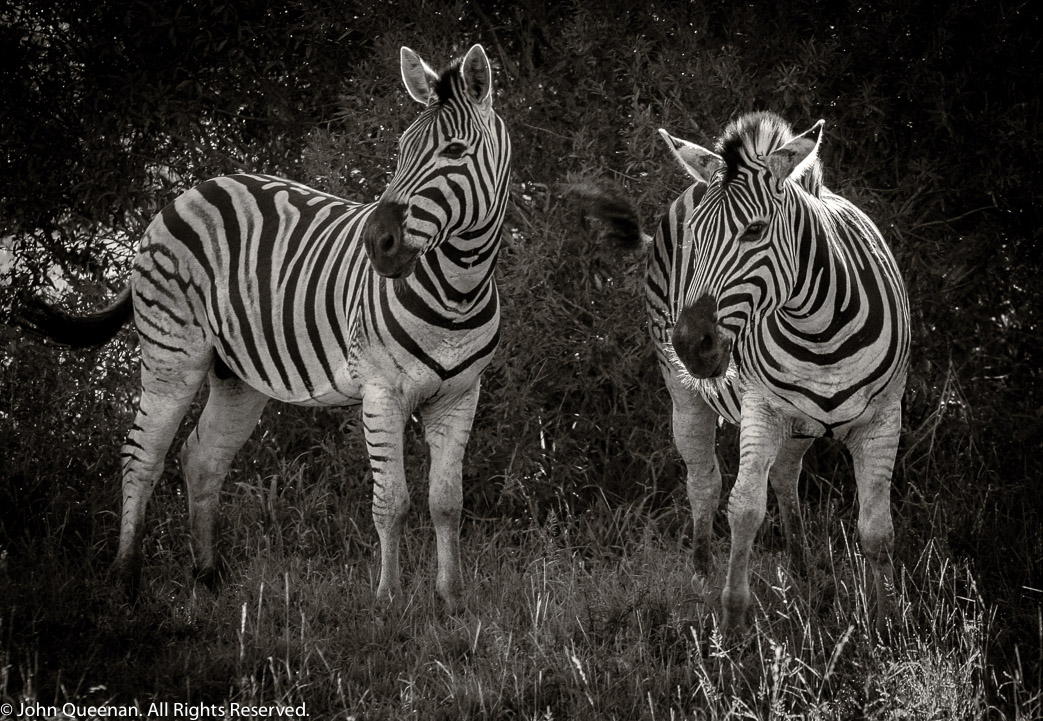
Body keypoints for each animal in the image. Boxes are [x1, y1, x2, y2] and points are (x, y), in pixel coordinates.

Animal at [15, 43, 512, 610]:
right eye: (402, 148)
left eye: (454, 150)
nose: (376, 242)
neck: (458, 290)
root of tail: (189, 192)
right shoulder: (382, 392)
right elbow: (393, 503)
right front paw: (387, 600)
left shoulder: (461, 395)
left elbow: (446, 503)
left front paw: (452, 601)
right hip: (171, 355)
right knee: (142, 455)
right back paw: (125, 579)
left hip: (237, 375)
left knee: (202, 457)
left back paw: (207, 577)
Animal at [582, 111, 910, 637]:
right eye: (697, 235)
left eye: (755, 231)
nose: (689, 344)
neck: (820, 331)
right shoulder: (762, 408)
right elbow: (744, 508)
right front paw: (733, 621)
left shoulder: (883, 419)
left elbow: (877, 530)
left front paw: (886, 626)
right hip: (685, 398)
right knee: (705, 483)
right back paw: (701, 580)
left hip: (798, 423)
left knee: (786, 475)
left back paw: (803, 570)